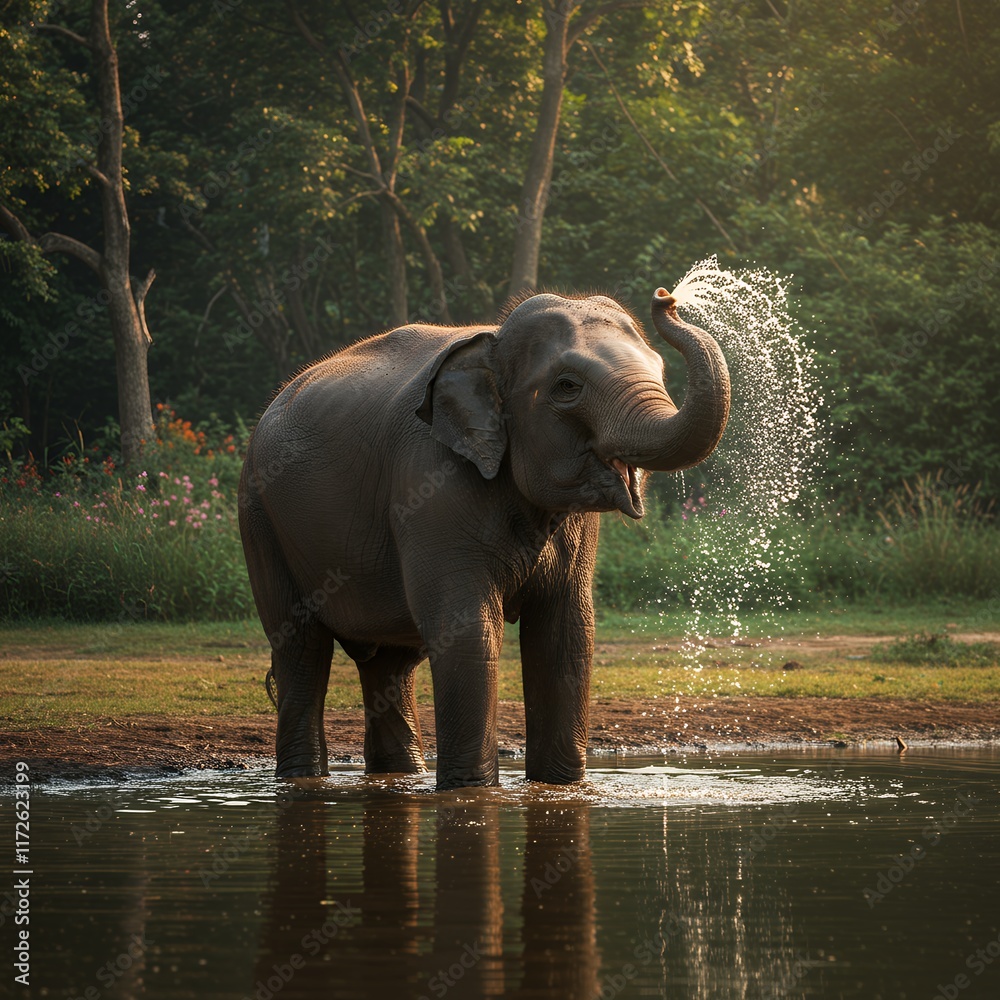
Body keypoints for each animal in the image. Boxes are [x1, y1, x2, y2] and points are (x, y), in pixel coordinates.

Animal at [238, 286, 730, 789]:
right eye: (567, 386)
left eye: (659, 368)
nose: (666, 297)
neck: (491, 343)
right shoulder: (430, 483)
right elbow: (468, 631)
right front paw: (472, 793)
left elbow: (567, 633)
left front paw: (561, 787)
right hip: (259, 518)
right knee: (301, 650)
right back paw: (301, 781)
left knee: (390, 665)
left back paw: (399, 776)